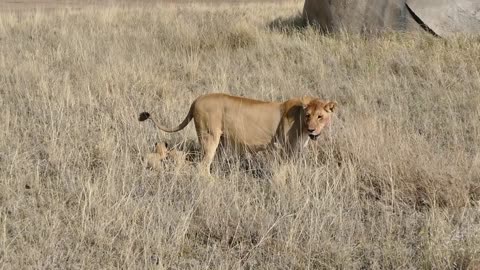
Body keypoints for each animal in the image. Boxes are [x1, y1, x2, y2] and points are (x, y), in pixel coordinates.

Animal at [137, 93, 336, 175]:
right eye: (308, 115)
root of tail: (196, 100)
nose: (312, 130)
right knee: (203, 166)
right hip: (210, 136)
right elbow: (282, 172)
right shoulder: (282, 149)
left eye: (320, 116)